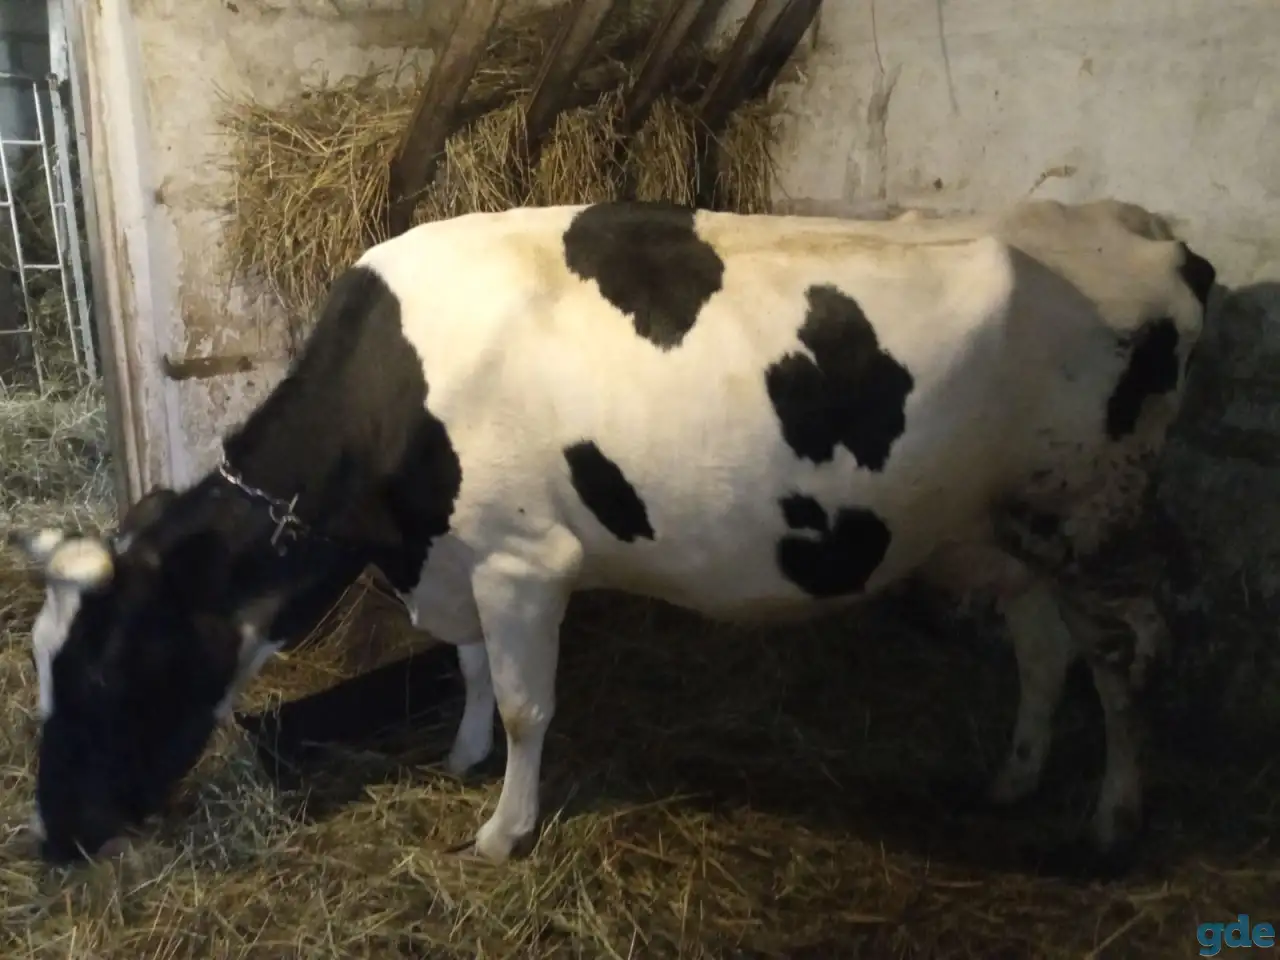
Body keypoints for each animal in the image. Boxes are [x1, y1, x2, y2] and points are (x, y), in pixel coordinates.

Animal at [12, 197, 1215, 869]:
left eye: (112, 670)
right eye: (41, 661)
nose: (56, 835)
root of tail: (1152, 236)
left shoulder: (523, 559)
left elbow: (523, 698)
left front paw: (503, 831)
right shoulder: (458, 556)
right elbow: (466, 668)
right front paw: (459, 758)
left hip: (1094, 516)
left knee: (1122, 658)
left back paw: (1112, 819)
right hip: (1010, 526)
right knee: (1043, 645)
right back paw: (1012, 779)